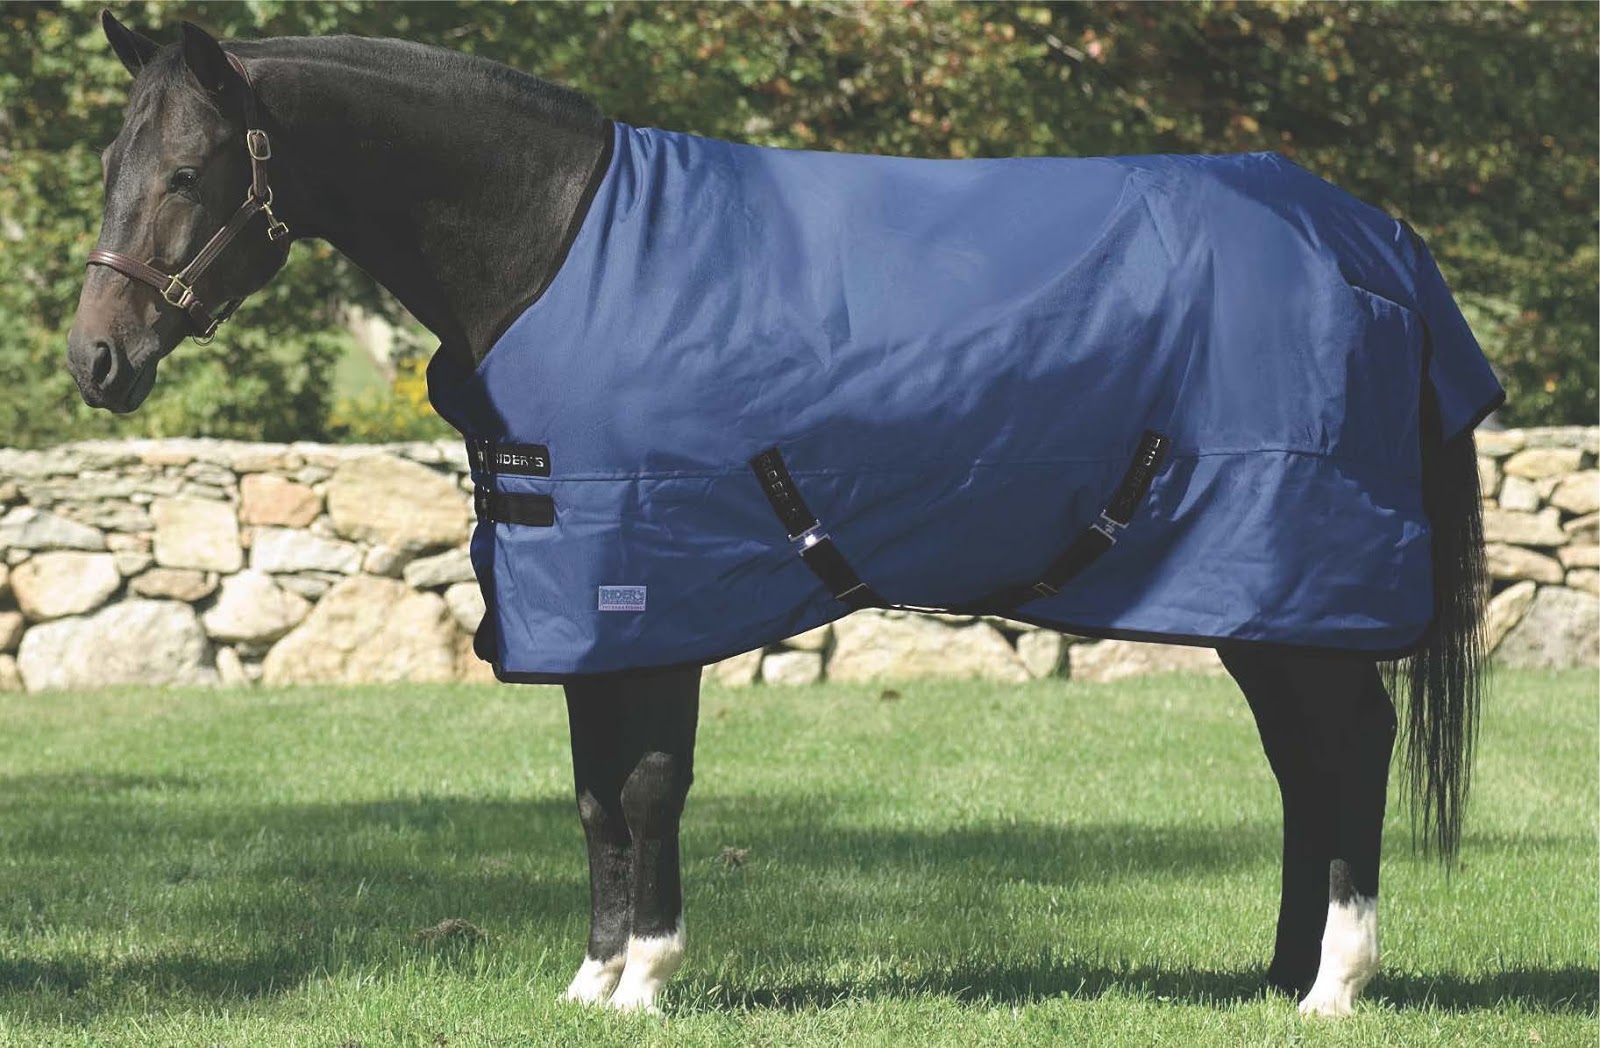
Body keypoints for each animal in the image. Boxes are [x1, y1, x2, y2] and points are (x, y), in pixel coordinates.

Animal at [67, 16, 1491, 1018]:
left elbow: (645, 785)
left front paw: (646, 979)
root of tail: (1372, 239)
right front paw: (590, 982)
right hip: (1257, 596)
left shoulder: (646, 587)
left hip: (1293, 571)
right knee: (1307, 763)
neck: (553, 247)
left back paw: (1334, 984)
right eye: (110, 169)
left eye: (187, 171)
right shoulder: (578, 599)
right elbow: (593, 795)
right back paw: (1281, 972)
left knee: (1347, 749)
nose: (96, 360)